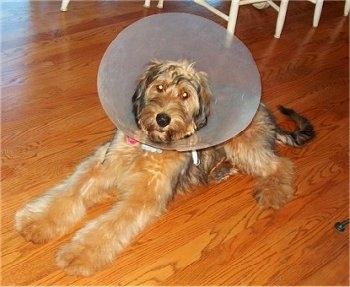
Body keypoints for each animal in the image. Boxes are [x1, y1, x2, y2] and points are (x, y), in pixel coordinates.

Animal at [15, 60, 314, 276]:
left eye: (184, 95)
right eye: (158, 88)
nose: (162, 119)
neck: (150, 146)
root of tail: (263, 108)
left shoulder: (144, 196)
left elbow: (108, 226)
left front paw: (78, 254)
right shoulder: (102, 165)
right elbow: (69, 192)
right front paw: (36, 221)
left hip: (242, 144)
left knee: (279, 164)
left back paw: (272, 192)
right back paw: (220, 172)